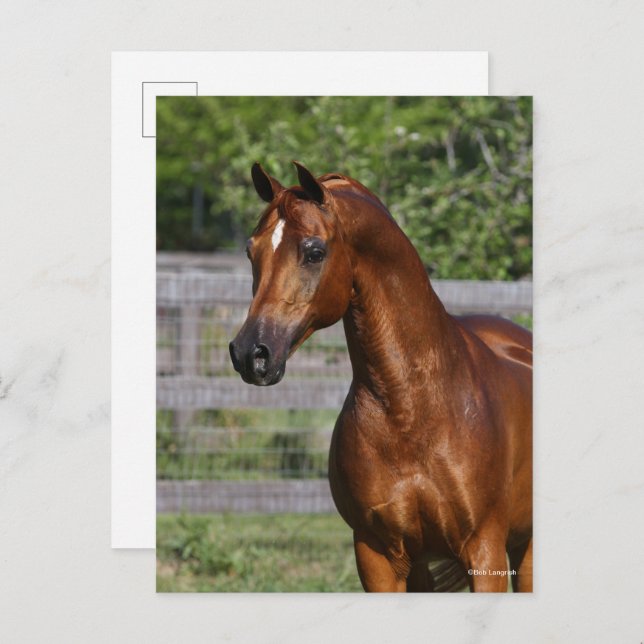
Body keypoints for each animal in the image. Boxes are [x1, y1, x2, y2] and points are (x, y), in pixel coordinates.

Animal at [229, 162, 533, 592]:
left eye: (314, 252)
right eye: (251, 251)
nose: (250, 353)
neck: (410, 410)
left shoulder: (484, 549)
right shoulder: (377, 556)